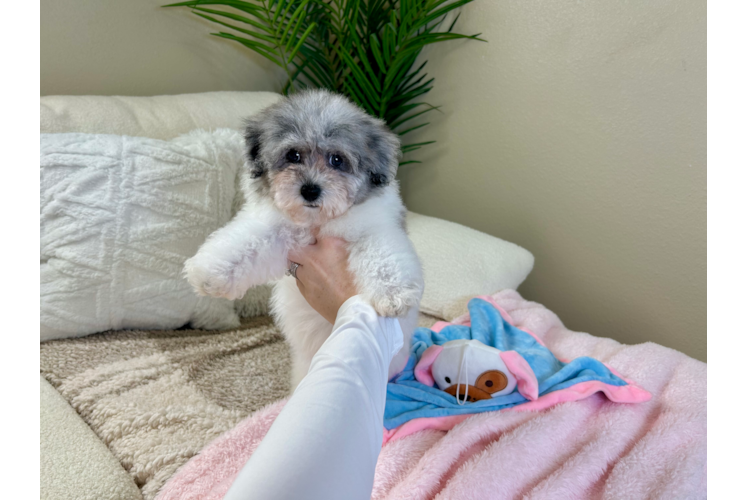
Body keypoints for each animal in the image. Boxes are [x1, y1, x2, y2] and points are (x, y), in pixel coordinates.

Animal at [184, 90, 424, 388]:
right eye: (293, 155)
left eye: (337, 160)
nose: (310, 190)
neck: (316, 222)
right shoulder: (276, 232)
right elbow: (246, 243)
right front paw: (209, 271)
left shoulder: (375, 227)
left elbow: (382, 256)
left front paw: (392, 293)